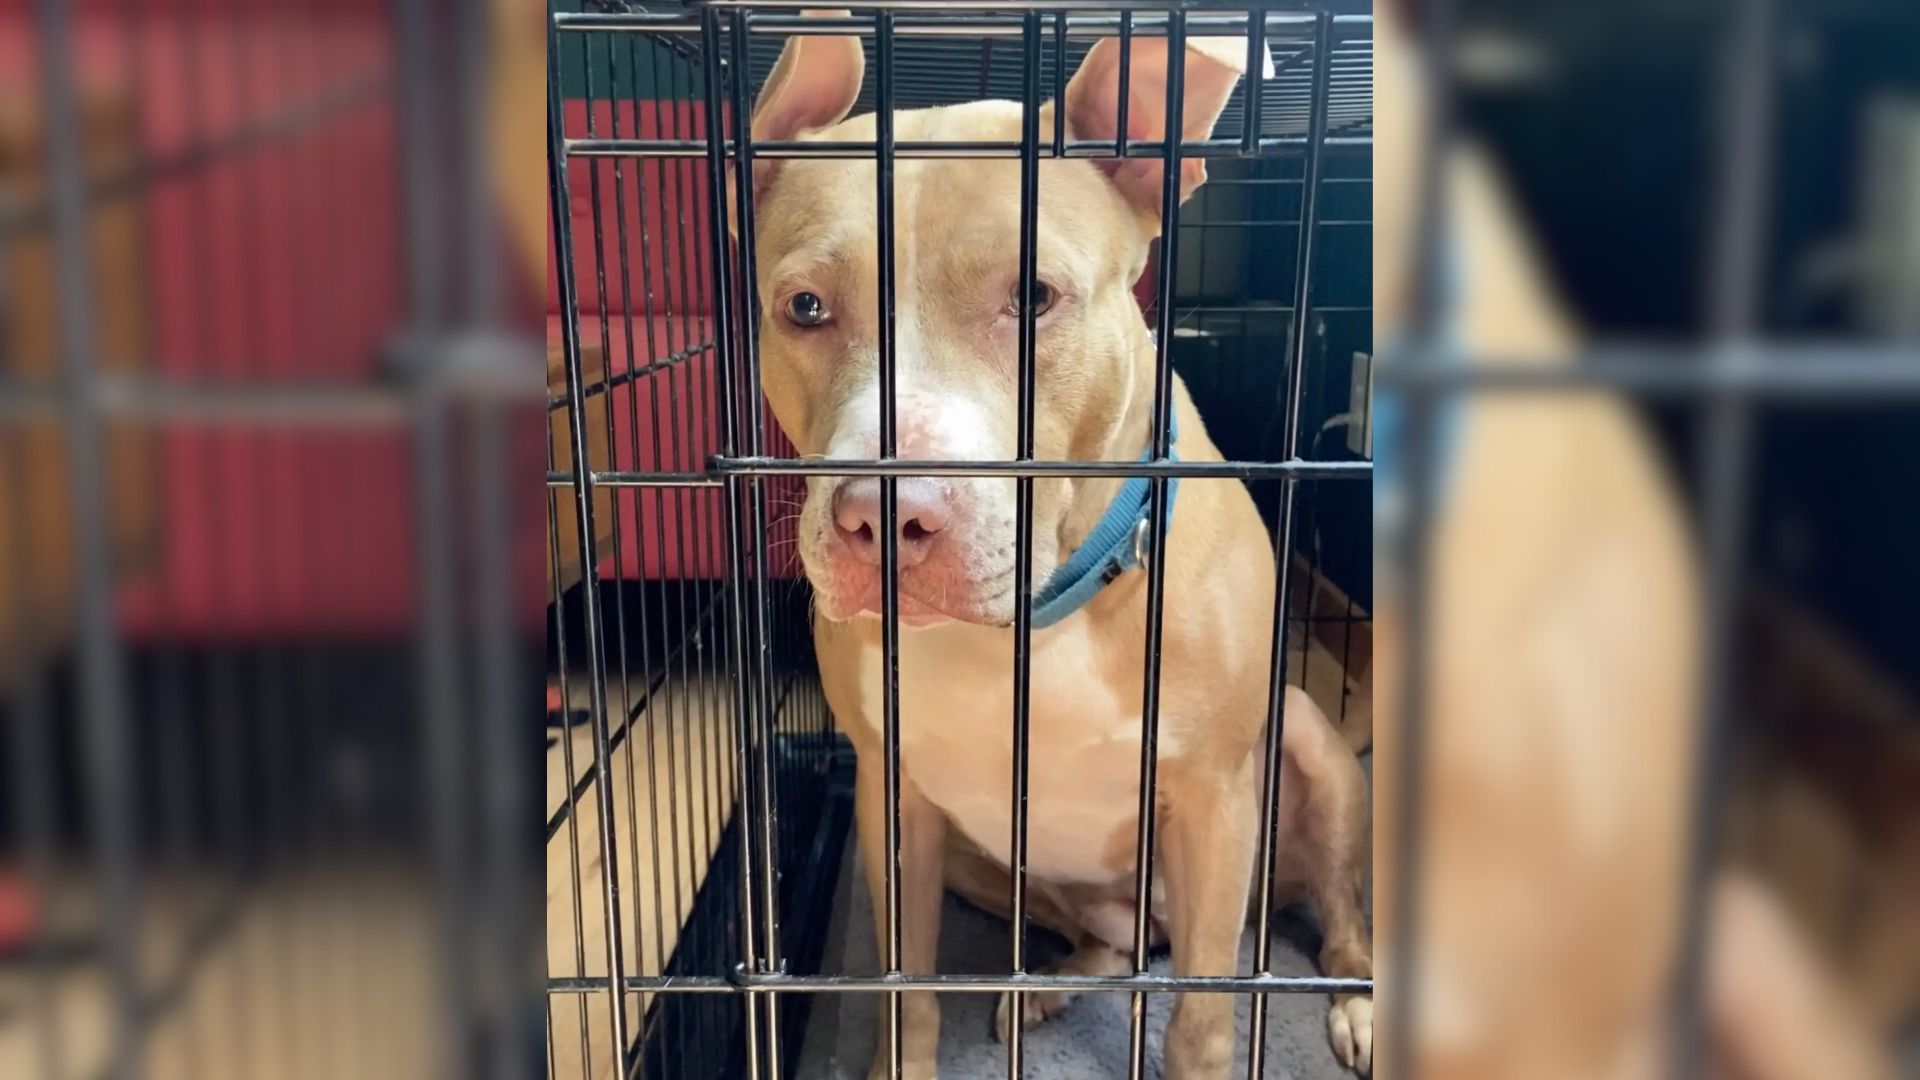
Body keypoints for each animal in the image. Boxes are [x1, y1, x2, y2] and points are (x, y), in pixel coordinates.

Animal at [733, 10, 1382, 1076]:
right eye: (806, 308)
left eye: (1033, 296)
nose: (881, 517)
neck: (1032, 622)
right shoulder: (892, 800)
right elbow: (905, 985)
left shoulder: (1214, 801)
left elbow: (1203, 1019)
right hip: (987, 863)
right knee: (1105, 941)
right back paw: (1044, 984)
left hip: (1305, 747)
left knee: (1329, 908)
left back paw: (1358, 998)